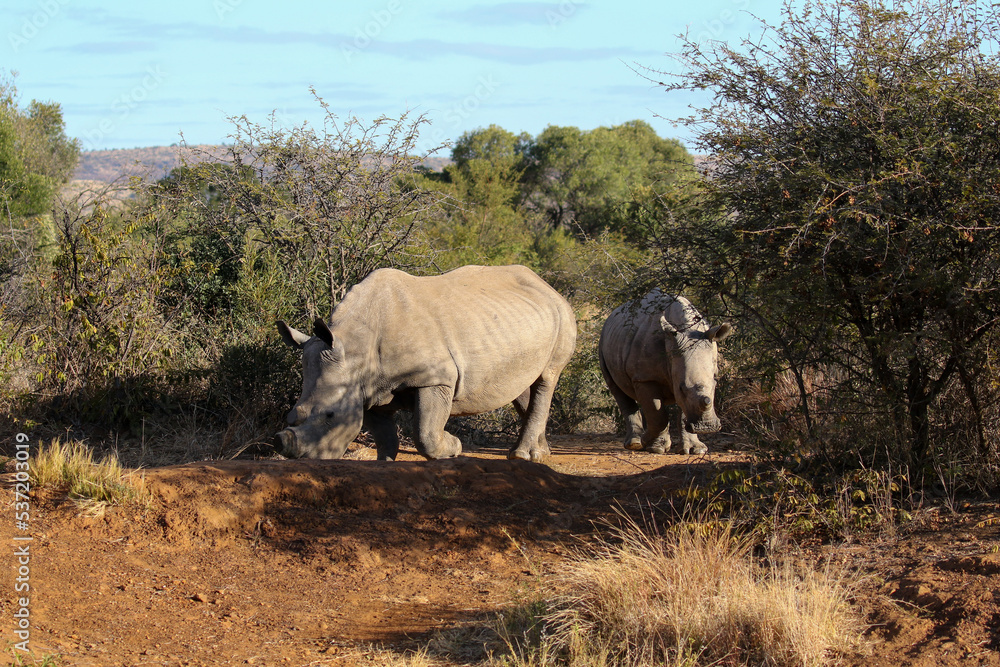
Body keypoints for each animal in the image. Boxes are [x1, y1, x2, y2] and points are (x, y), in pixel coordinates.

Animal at [274, 265, 577, 462]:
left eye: (330, 415)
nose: (303, 459)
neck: (355, 348)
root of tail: (548, 286)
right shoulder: (368, 390)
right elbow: (385, 437)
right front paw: (384, 464)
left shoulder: (435, 378)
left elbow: (425, 433)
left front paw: (454, 448)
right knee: (523, 386)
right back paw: (543, 451)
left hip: (563, 314)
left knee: (547, 377)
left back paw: (524, 456)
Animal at [598, 290, 732, 454]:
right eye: (681, 388)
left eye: (715, 380)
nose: (706, 427)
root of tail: (612, 315)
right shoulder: (645, 378)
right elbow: (657, 414)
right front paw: (654, 446)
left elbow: (683, 413)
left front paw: (695, 450)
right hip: (603, 343)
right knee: (617, 390)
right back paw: (635, 444)